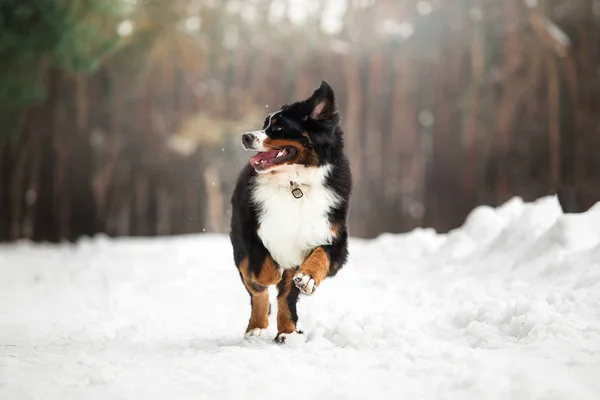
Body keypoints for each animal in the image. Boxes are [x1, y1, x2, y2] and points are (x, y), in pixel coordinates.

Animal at [229, 82, 352, 344]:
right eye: (265, 123)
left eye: (278, 126)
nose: (246, 137)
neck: (294, 185)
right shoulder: (248, 230)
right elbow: (261, 269)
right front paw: (272, 274)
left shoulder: (334, 236)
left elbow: (320, 257)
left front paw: (307, 278)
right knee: (256, 289)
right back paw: (257, 327)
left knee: (286, 297)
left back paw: (288, 331)